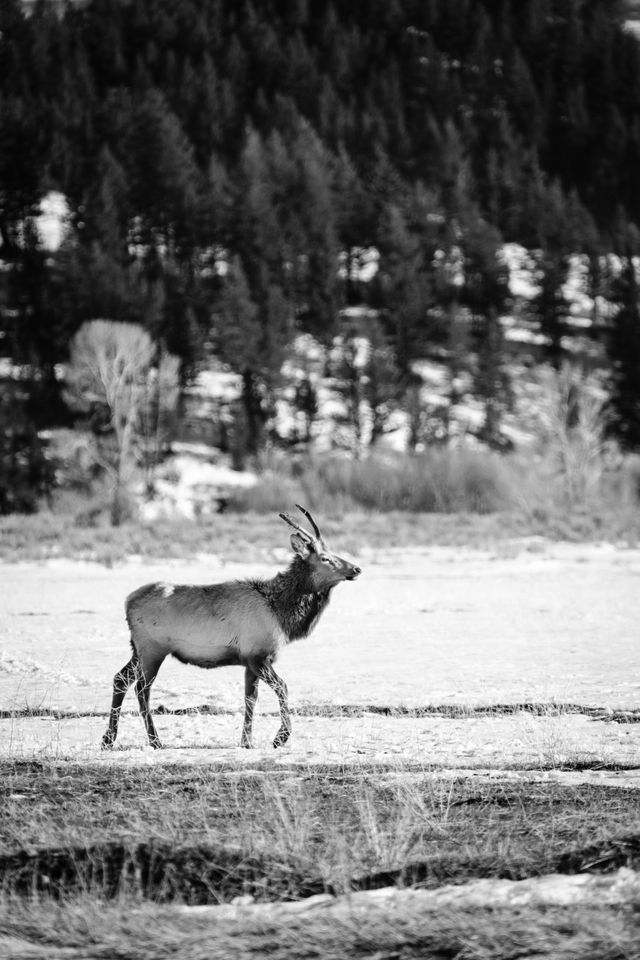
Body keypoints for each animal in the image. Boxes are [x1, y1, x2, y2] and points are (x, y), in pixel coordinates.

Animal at [100, 502, 360, 752]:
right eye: (325, 558)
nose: (356, 569)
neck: (281, 613)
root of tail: (128, 602)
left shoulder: (249, 661)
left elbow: (250, 699)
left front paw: (246, 741)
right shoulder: (258, 655)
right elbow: (283, 688)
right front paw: (280, 738)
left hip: (137, 649)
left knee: (120, 679)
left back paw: (108, 740)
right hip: (153, 648)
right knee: (142, 689)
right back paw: (155, 741)